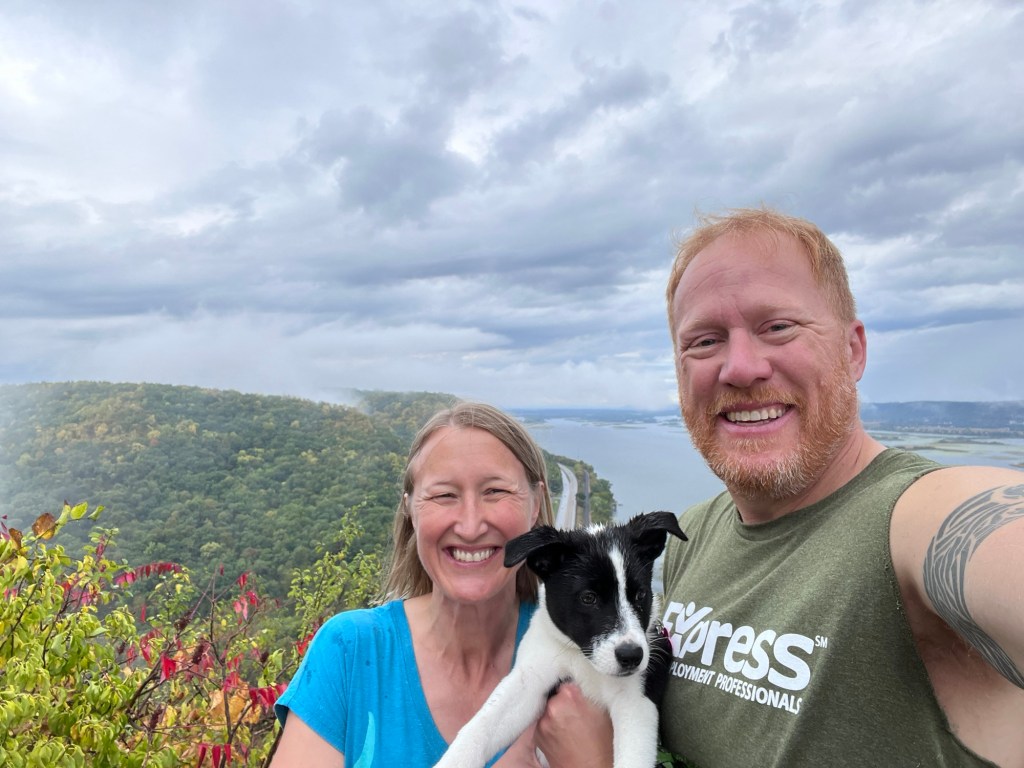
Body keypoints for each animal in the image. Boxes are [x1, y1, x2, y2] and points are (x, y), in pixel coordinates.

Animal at [434, 511, 687, 768]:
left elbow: (633, 758)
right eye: (588, 598)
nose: (631, 656)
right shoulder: (530, 679)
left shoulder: (636, 701)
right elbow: (480, 728)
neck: (580, 657)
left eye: (641, 595)